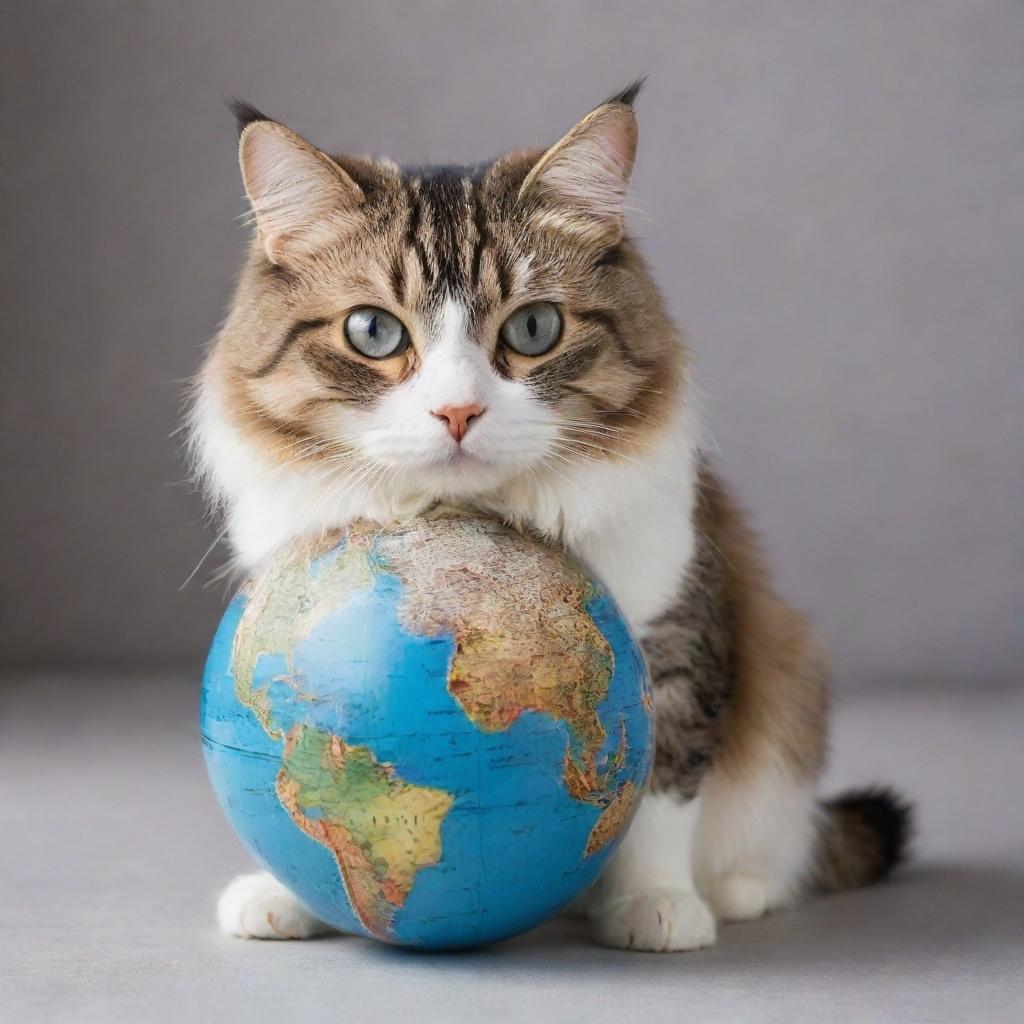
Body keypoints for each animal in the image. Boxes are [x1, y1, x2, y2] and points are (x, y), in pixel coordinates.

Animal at [192, 81, 913, 950]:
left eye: (534, 329)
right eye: (373, 331)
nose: (458, 412)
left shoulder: (678, 629)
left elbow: (661, 792)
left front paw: (655, 906)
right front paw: (282, 894)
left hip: (791, 675)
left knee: (778, 841)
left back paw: (736, 890)